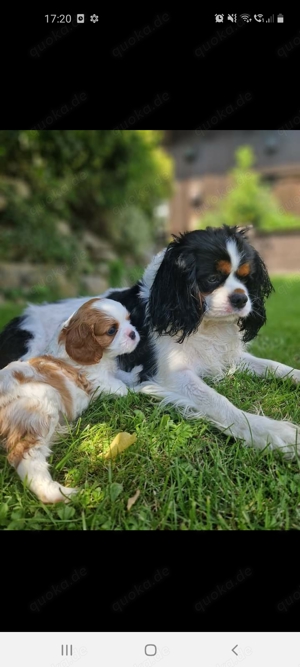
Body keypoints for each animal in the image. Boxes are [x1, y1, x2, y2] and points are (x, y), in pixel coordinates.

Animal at [0, 300, 140, 504]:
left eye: (129, 320)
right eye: (112, 330)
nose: (133, 333)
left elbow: (121, 374)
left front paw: (135, 374)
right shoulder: (99, 381)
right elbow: (121, 387)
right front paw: (143, 387)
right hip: (40, 407)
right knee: (27, 458)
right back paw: (59, 492)